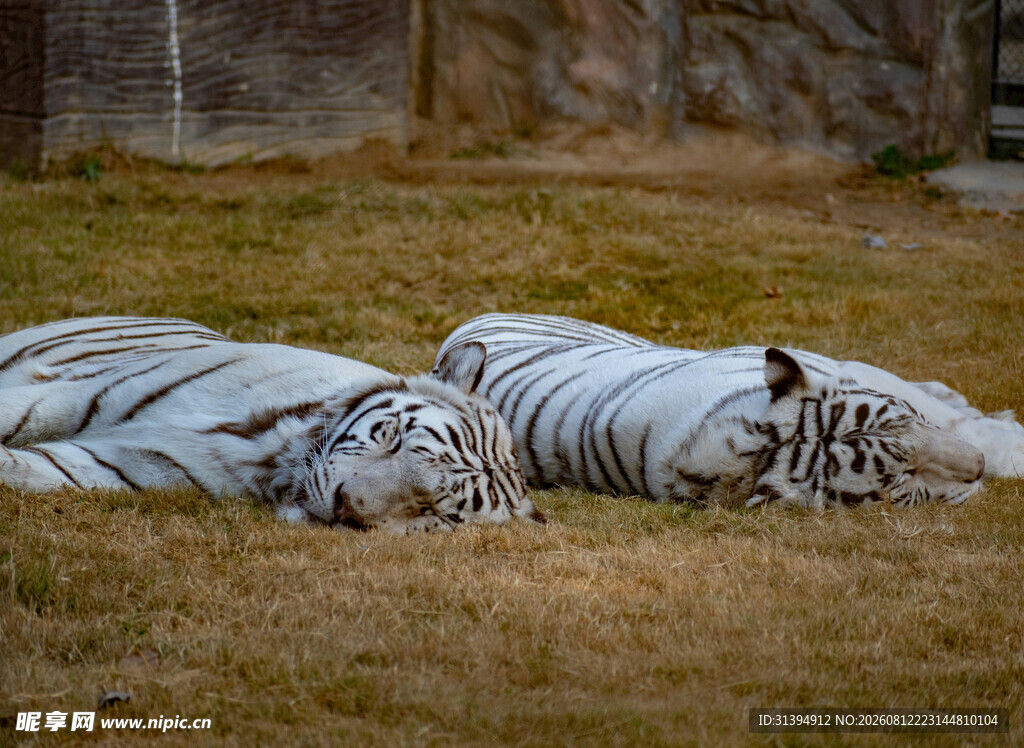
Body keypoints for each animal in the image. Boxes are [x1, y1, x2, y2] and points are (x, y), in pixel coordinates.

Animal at [0, 316, 544, 534]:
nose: (344, 508)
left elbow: (30, 469)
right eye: (392, 438)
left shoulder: (121, 466)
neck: (271, 452)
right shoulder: (77, 394)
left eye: (432, 511)